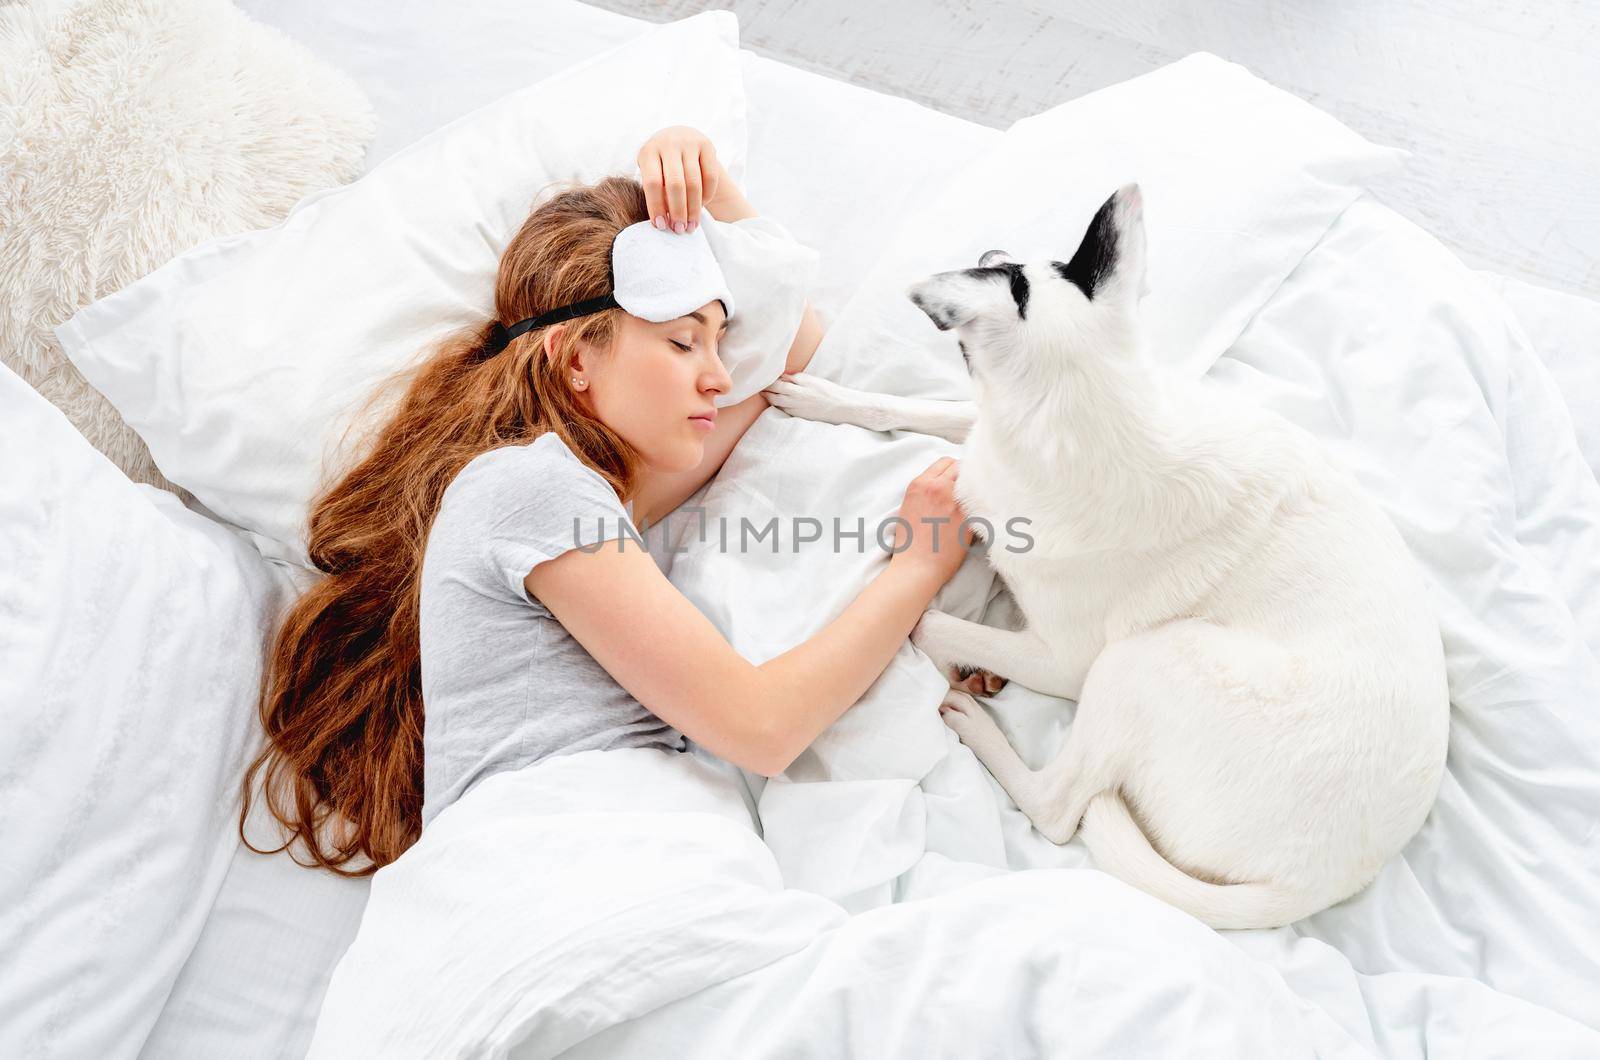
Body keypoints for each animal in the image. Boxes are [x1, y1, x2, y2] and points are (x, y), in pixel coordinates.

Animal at [768, 186, 1459, 935]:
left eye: (1010, 269)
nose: (990, 246)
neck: (1103, 415)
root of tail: (1320, 883)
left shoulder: (1063, 659)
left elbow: (928, 618)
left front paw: (947, 624)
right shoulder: (988, 436)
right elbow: (924, 410)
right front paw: (825, 397)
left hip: (1143, 662)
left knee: (1059, 808)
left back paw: (979, 726)